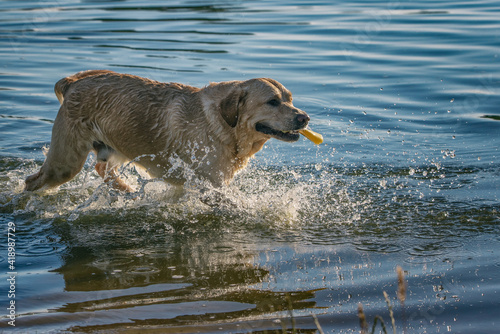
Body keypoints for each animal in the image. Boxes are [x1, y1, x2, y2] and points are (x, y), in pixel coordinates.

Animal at [25, 69, 310, 192]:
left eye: (290, 99)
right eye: (272, 102)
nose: (305, 118)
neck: (220, 126)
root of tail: (73, 81)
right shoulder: (209, 186)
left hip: (116, 148)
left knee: (102, 168)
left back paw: (124, 189)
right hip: (65, 164)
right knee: (32, 182)